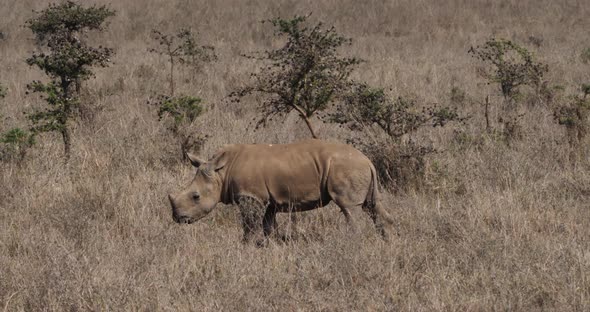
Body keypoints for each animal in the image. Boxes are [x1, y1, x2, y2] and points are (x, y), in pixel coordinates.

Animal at [169, 138, 396, 241]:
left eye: (196, 196)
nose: (178, 218)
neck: (221, 172)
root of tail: (367, 160)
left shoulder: (251, 197)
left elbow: (250, 225)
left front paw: (247, 244)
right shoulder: (267, 200)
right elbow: (268, 225)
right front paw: (268, 244)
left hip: (347, 167)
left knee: (349, 208)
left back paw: (350, 242)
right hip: (357, 169)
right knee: (372, 205)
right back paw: (387, 240)